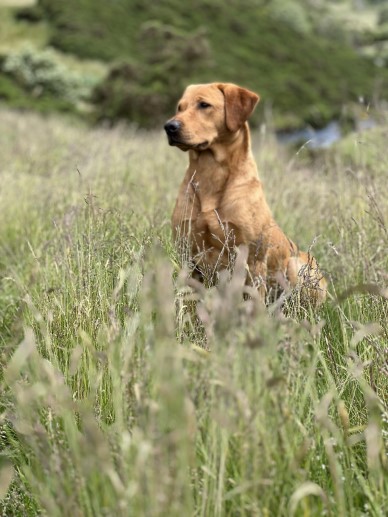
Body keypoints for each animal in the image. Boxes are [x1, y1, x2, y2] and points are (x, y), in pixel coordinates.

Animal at [164, 82, 328, 304]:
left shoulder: (253, 260)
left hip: (297, 267)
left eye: (204, 105)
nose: (169, 127)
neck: (210, 175)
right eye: (180, 107)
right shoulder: (187, 256)